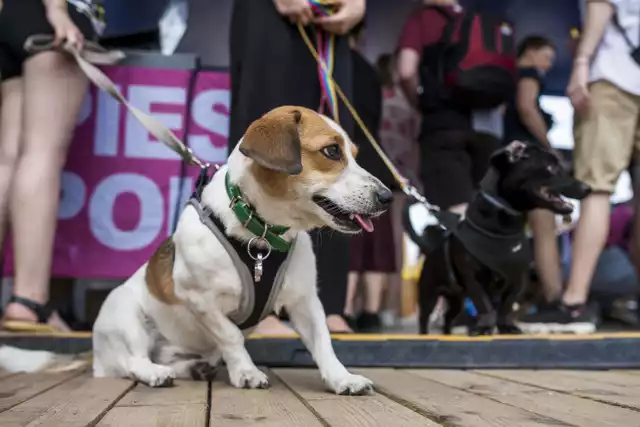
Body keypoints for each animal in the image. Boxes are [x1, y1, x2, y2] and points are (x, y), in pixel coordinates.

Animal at [89, 106, 390, 394]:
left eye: (353, 154)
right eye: (331, 151)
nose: (387, 197)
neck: (262, 236)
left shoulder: (304, 300)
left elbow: (323, 341)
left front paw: (342, 378)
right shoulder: (199, 299)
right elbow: (231, 335)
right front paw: (246, 372)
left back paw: (195, 368)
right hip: (126, 314)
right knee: (134, 360)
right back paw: (154, 373)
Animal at [404, 142, 592, 336]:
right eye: (550, 167)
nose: (587, 188)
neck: (503, 230)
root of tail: (430, 250)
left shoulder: (517, 280)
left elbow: (506, 306)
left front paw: (506, 326)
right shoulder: (474, 280)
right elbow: (484, 305)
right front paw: (484, 327)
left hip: (456, 298)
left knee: (449, 317)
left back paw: (448, 334)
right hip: (428, 295)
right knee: (425, 319)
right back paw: (425, 334)